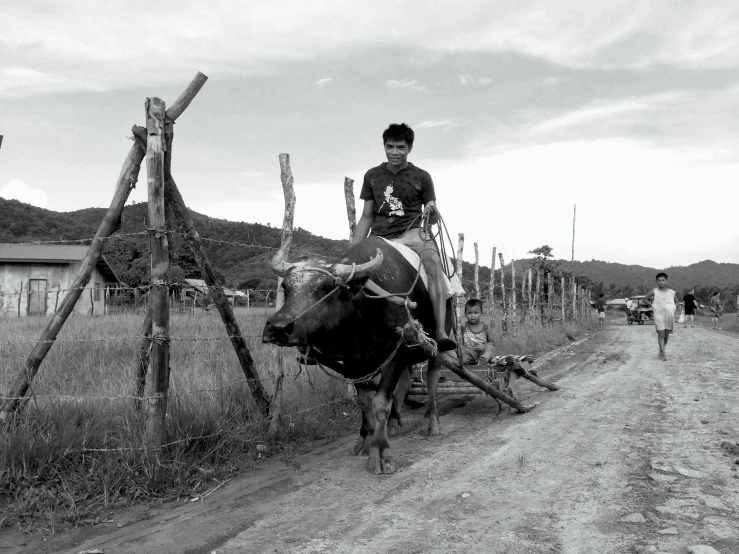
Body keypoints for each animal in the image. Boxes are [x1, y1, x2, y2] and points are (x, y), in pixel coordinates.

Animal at [266, 235, 450, 472]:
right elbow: (364, 401)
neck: (365, 313)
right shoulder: (353, 362)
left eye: (326, 287)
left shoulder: (395, 353)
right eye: (286, 287)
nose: (278, 327)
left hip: (436, 344)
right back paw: (394, 423)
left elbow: (380, 402)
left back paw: (431, 422)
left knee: (432, 378)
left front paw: (380, 453)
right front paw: (366, 439)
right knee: (405, 382)